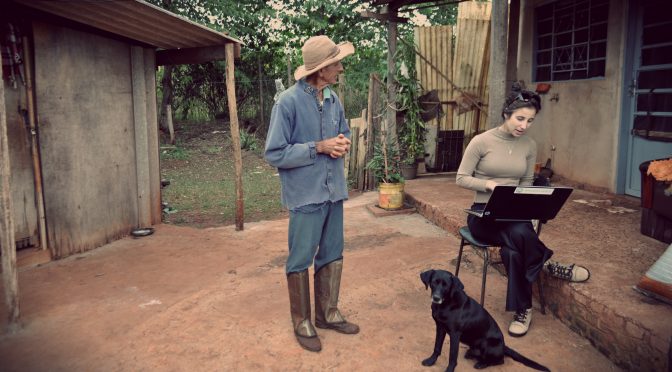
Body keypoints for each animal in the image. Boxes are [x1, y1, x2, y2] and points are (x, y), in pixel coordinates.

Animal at [420, 268, 552, 370]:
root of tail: (504, 346)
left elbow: (452, 357)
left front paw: (449, 369)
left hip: (487, 343)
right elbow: (437, 347)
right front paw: (431, 361)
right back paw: (472, 355)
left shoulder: (455, 334)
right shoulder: (440, 327)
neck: (445, 305)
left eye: (446, 286)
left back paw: (482, 364)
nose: (436, 298)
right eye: (433, 283)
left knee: (500, 360)